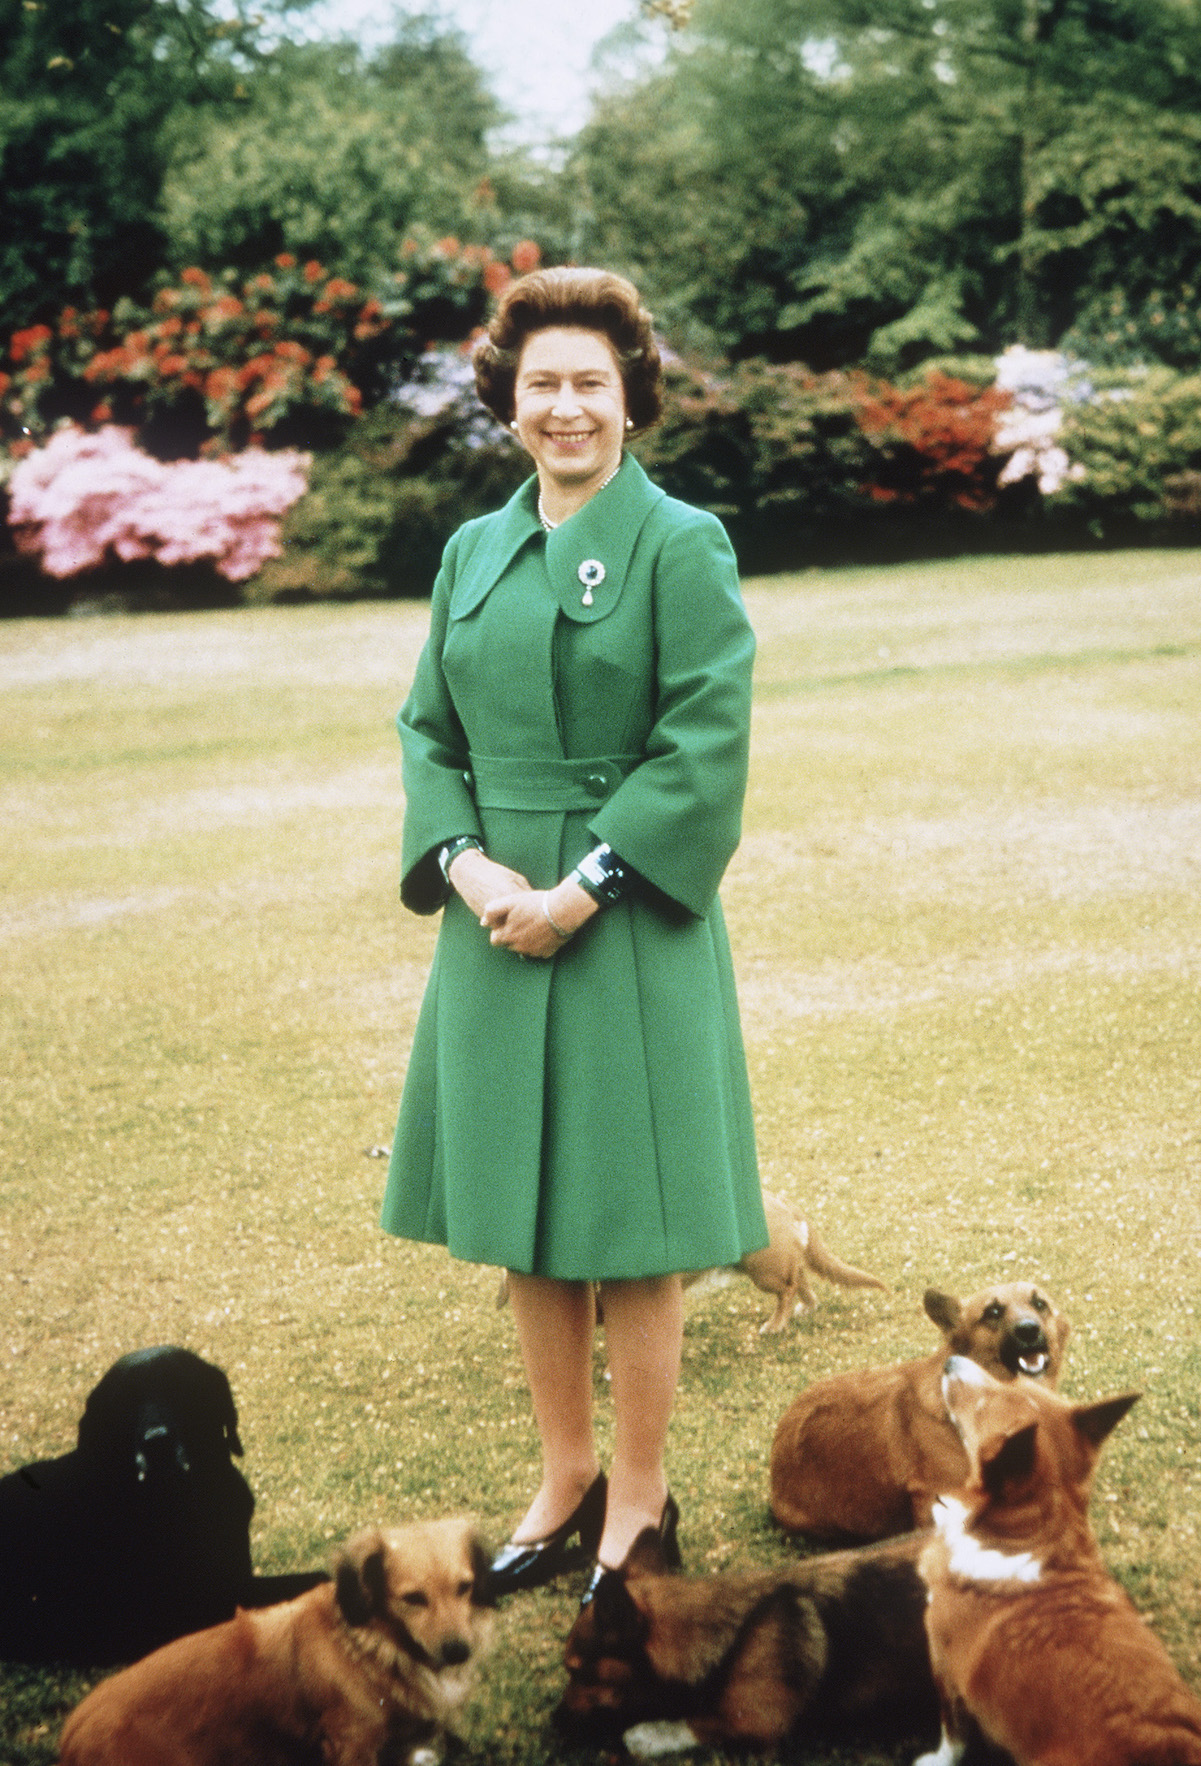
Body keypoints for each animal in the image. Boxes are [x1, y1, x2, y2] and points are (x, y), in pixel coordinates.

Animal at [59, 1518, 490, 1766]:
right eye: (413, 1598)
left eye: (464, 1587)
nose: (458, 1650)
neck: (370, 1646)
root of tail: (71, 1734)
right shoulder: (353, 1745)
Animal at [911, 1356, 1193, 1766]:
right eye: (1012, 1381)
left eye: (982, 1405)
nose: (951, 1361)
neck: (1032, 1535)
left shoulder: (944, 1671)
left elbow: (952, 1735)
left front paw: (935, 1759)